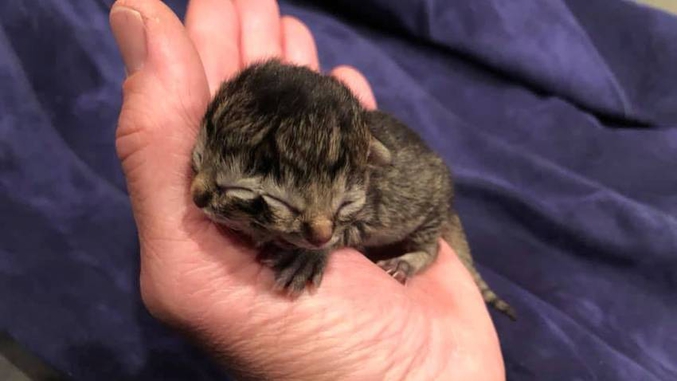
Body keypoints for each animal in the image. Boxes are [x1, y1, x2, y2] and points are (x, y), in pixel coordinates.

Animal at [187, 59, 516, 320]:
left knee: (432, 249)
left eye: (343, 205)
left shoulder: (366, 214)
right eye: (199, 158)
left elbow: (346, 232)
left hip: (431, 213)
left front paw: (307, 256)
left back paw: (409, 260)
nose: (196, 196)